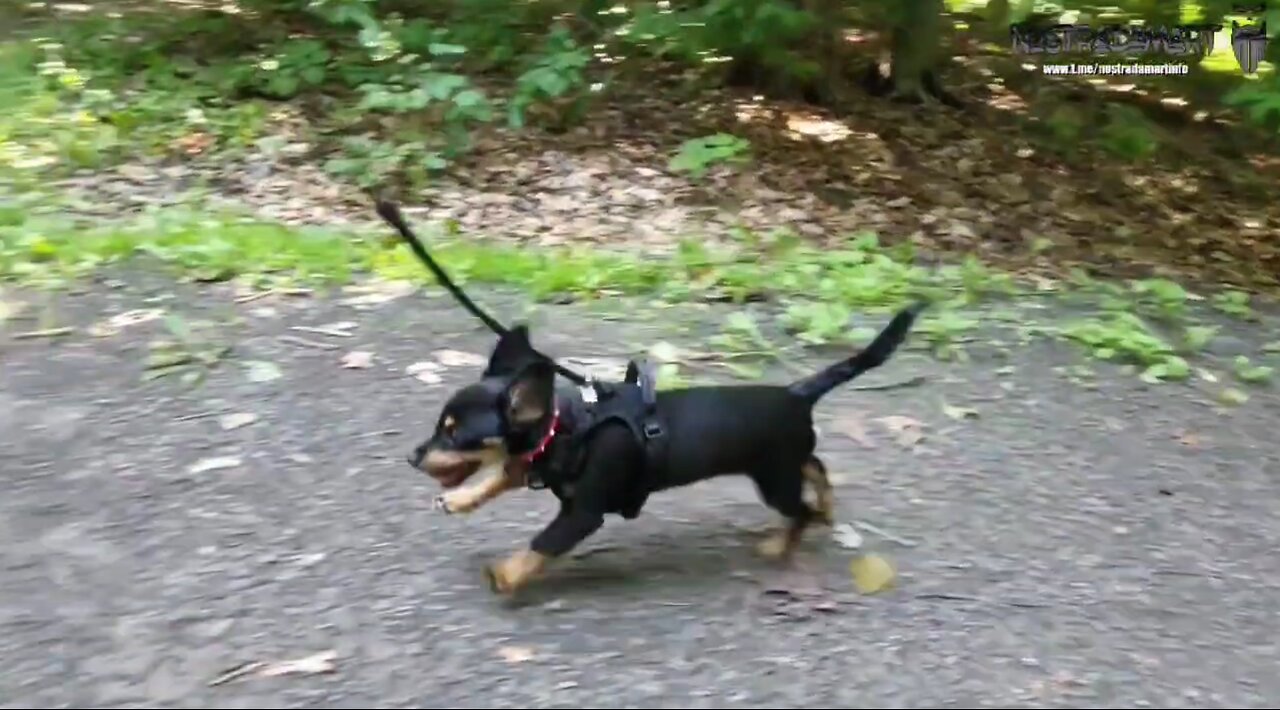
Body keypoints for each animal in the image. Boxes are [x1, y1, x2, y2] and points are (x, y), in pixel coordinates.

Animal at [373, 200, 926, 593]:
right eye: (438, 427)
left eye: (455, 435)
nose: (412, 456)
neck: (565, 429)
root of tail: (797, 393)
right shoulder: (532, 464)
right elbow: (499, 474)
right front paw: (462, 498)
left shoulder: (582, 513)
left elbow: (541, 544)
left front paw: (505, 575)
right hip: (781, 465)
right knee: (817, 468)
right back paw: (823, 506)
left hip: (772, 477)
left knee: (801, 509)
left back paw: (780, 544)